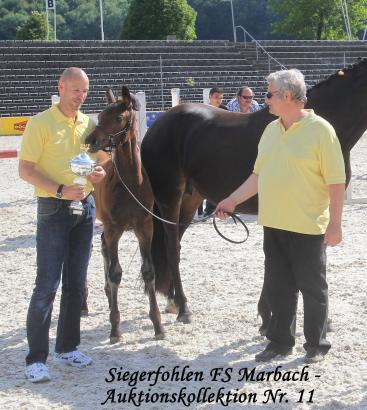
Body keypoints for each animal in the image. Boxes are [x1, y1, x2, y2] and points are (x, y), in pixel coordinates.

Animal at [85, 86, 166, 342]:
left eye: (119, 117)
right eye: (100, 115)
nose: (90, 140)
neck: (130, 183)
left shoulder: (145, 228)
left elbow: (148, 272)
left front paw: (158, 326)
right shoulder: (114, 229)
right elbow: (115, 273)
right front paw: (114, 329)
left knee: (102, 248)